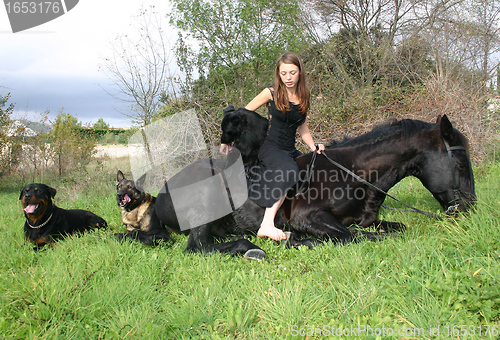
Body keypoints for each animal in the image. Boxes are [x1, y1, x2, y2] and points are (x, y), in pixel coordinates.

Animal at [146, 109, 474, 258]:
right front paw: (301, 241)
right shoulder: (309, 217)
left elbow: (391, 229)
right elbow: (353, 237)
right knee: (198, 247)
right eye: (460, 164)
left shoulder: (368, 220)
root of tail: (161, 193)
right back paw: (253, 247)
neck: (351, 173)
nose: (470, 209)